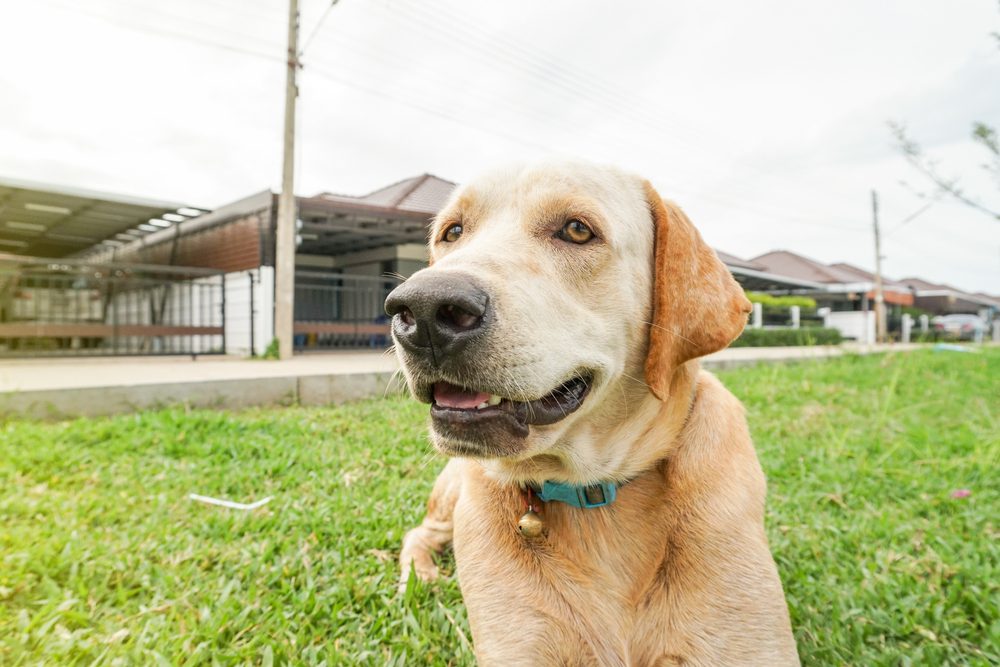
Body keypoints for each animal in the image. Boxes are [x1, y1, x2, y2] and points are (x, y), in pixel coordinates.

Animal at [382, 162, 796, 667]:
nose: (421, 310)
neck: (592, 492)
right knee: (418, 533)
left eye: (577, 230)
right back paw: (420, 578)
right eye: (453, 232)